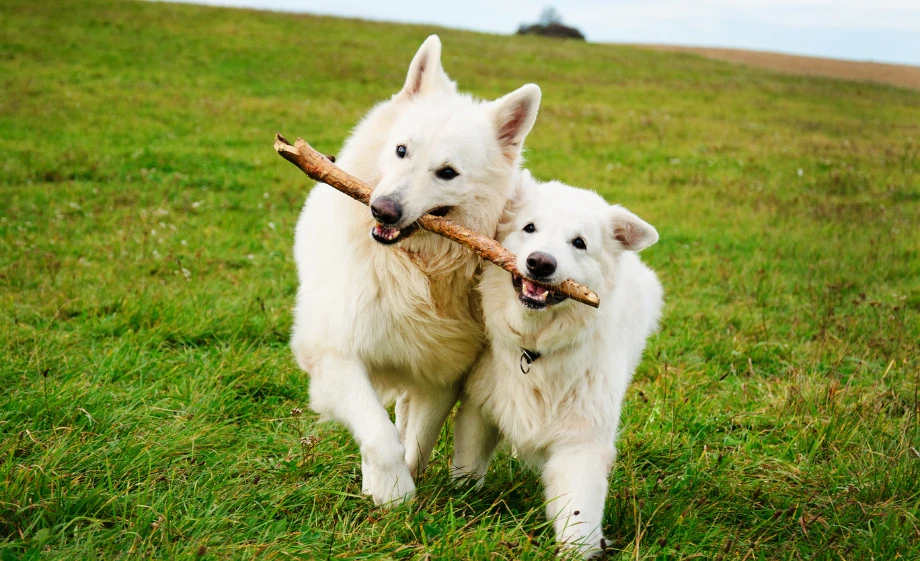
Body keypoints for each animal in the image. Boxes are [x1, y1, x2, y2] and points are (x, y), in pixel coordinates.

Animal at [292, 37, 544, 506]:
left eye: (447, 173)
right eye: (401, 151)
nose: (382, 210)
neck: (415, 267)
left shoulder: (441, 372)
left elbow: (417, 439)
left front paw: (400, 486)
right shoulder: (335, 355)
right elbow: (379, 432)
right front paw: (391, 492)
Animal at [452, 174, 660, 556]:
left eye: (579, 243)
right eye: (529, 228)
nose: (540, 263)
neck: (534, 348)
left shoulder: (581, 443)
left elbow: (578, 511)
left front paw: (579, 551)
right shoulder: (479, 409)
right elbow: (468, 467)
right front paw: (459, 499)